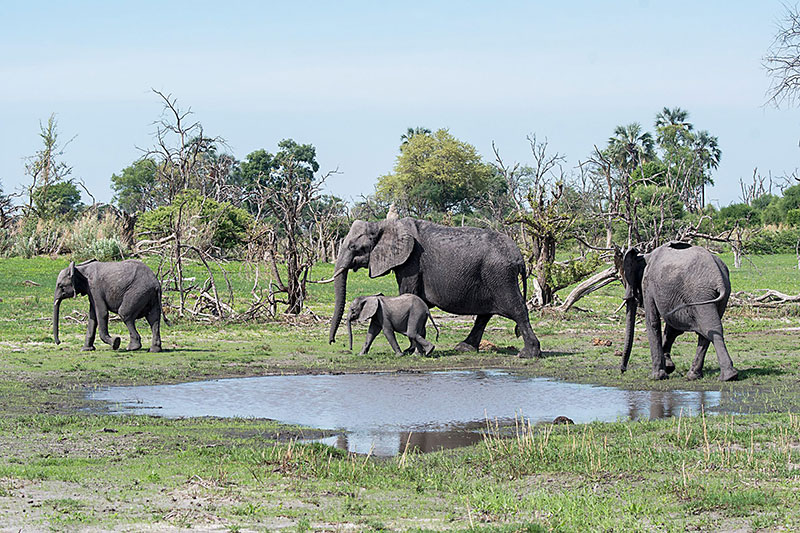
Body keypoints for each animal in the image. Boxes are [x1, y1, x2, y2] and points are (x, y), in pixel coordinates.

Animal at [328, 217, 541, 358]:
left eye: (354, 247)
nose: (333, 342)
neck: (383, 224)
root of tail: (520, 257)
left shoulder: (411, 262)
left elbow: (408, 293)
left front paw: (412, 351)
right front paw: (418, 350)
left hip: (500, 276)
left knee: (517, 310)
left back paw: (527, 354)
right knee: (485, 314)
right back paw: (463, 348)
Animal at [620, 241, 738, 381]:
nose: (622, 370)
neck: (645, 255)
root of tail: (719, 278)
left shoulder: (648, 284)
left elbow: (653, 322)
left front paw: (657, 376)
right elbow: (672, 329)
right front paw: (669, 368)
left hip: (699, 293)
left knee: (709, 328)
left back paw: (727, 377)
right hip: (719, 295)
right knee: (709, 330)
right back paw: (697, 376)